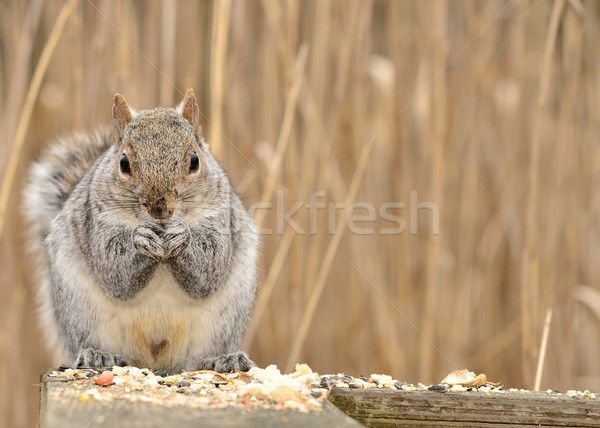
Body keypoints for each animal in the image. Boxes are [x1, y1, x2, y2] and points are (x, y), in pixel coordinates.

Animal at [22, 89, 258, 372]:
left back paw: (221, 360)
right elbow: (115, 273)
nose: (160, 207)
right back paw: (99, 356)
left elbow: (211, 268)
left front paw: (182, 237)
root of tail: (154, 360)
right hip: (79, 313)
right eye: (124, 162)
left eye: (194, 161)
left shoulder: (220, 220)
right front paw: (141, 239)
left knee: (196, 360)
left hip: (223, 322)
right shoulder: (98, 224)